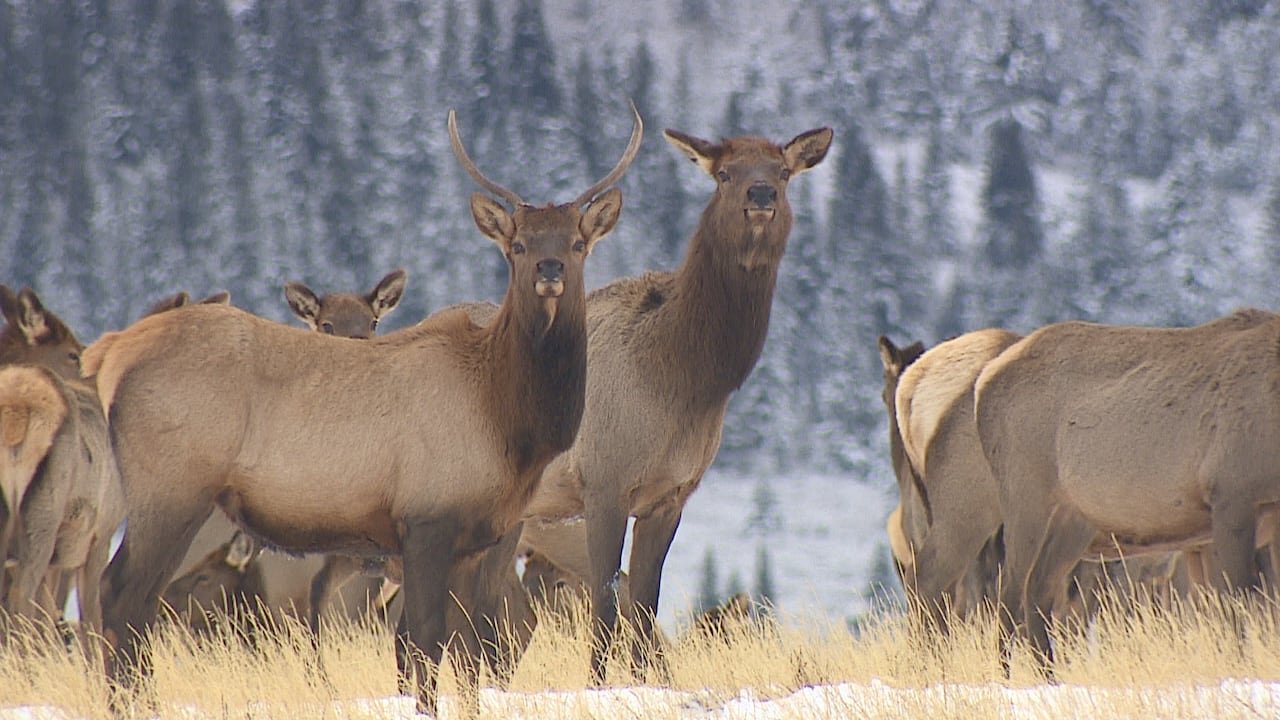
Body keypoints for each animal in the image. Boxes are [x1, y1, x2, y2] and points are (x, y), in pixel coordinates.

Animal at [82, 106, 640, 714]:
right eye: (517, 244)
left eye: (579, 242)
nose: (549, 268)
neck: (508, 423)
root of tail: (110, 352)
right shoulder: (426, 519)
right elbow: (425, 644)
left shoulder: (476, 538)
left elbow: (471, 650)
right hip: (172, 486)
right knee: (121, 595)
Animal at [493, 123, 834, 683]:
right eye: (724, 173)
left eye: (783, 171)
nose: (761, 195)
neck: (681, 385)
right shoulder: (603, 484)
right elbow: (608, 602)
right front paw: (598, 684)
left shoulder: (670, 495)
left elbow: (645, 603)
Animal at [972, 308, 1280, 670]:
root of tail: (984, 381)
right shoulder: (1231, 494)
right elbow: (1239, 602)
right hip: (1026, 495)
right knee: (1010, 590)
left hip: (1073, 520)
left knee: (1038, 588)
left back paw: (1048, 672)